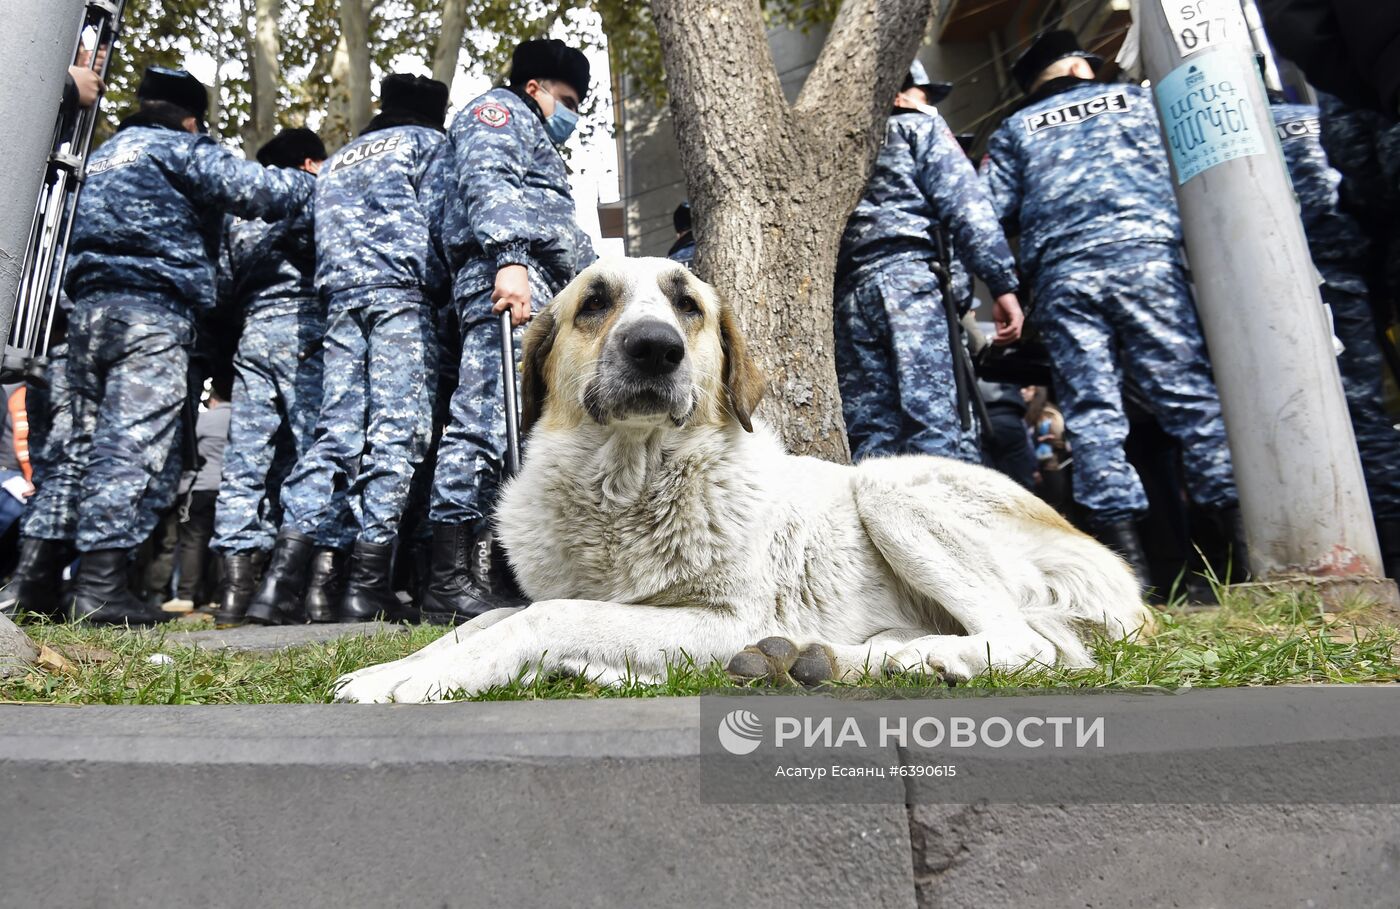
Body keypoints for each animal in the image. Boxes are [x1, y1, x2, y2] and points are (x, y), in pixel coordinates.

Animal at [336, 254, 1148, 703]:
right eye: (595, 303)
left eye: (687, 306)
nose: (655, 346)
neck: (628, 485)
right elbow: (482, 622)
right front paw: (404, 665)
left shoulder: (726, 618)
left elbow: (546, 617)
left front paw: (416, 682)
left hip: (887, 485)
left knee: (1027, 645)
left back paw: (885, 658)